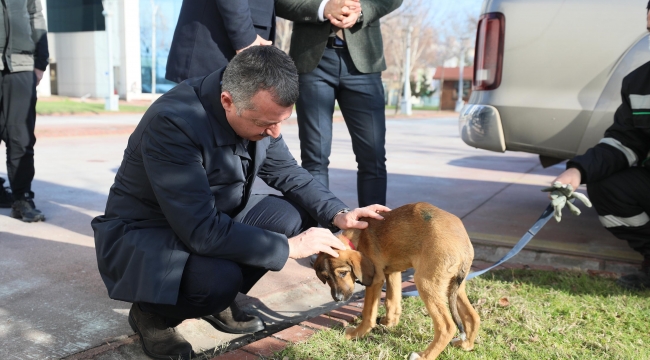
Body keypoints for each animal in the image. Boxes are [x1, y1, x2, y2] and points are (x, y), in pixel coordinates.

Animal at [312, 202, 478, 360]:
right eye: (326, 277)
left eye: (343, 273)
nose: (338, 298)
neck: (357, 237)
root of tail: (465, 244)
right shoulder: (393, 272)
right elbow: (391, 301)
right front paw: (389, 322)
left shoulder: (375, 280)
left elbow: (368, 313)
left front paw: (356, 334)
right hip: (453, 285)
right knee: (472, 316)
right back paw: (465, 345)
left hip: (426, 283)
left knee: (447, 326)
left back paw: (424, 356)